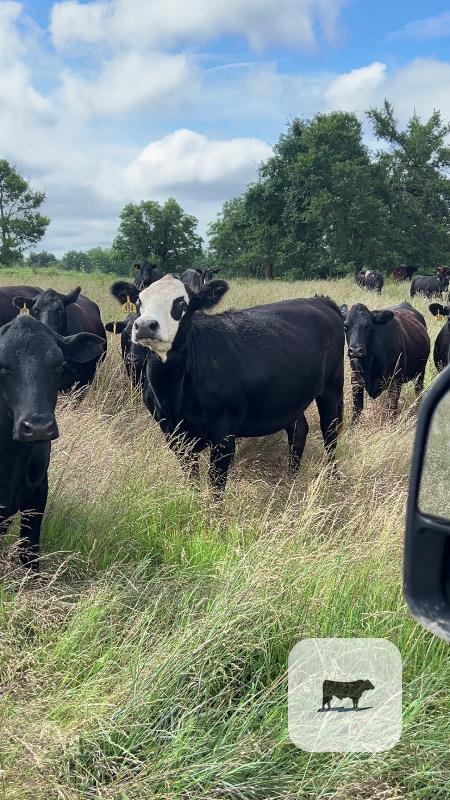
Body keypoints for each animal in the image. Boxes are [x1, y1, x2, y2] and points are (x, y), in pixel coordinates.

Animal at [114, 275, 345, 494]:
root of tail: (319, 300)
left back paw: (332, 478)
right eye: (139, 301)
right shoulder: (174, 435)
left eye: (181, 302)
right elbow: (192, 479)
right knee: (298, 431)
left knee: (329, 432)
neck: (174, 396)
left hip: (332, 387)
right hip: (290, 398)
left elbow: (216, 484)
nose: (145, 325)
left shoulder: (223, 435)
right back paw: (291, 478)